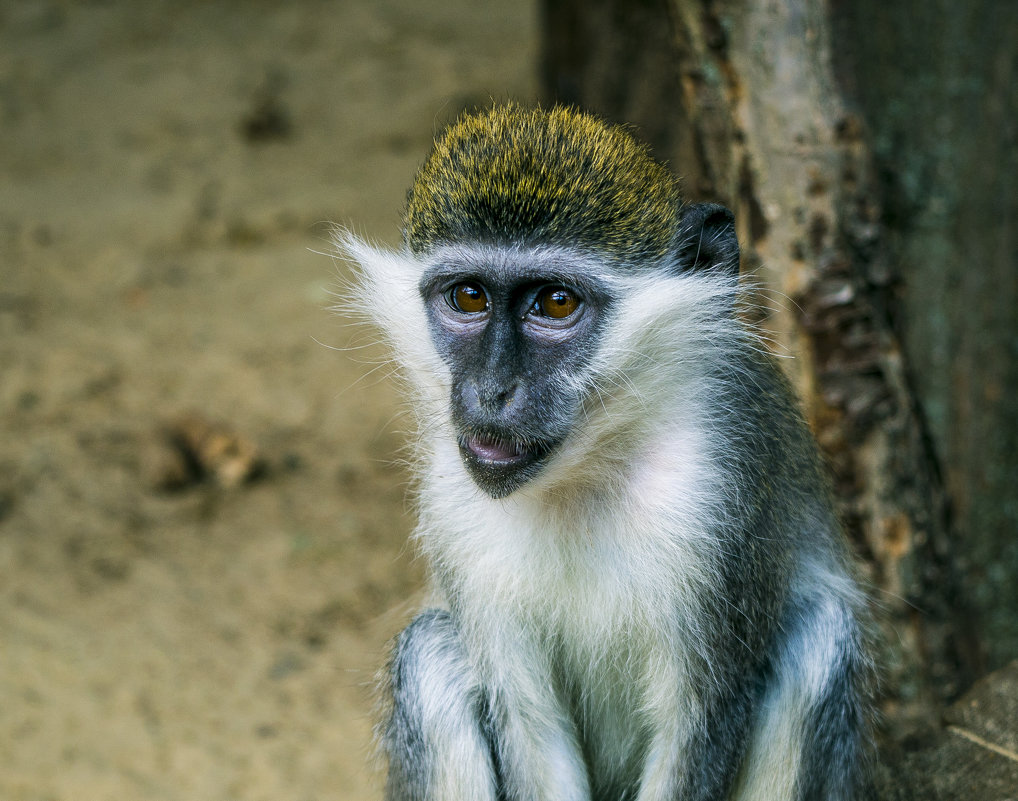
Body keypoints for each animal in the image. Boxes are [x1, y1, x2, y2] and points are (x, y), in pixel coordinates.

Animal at [337, 104, 871, 801]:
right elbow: (531, 729)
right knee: (428, 653)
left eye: (556, 302)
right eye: (469, 297)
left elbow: (698, 726)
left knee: (819, 635)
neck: (585, 470)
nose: (491, 390)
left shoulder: (724, 488)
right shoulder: (453, 505)